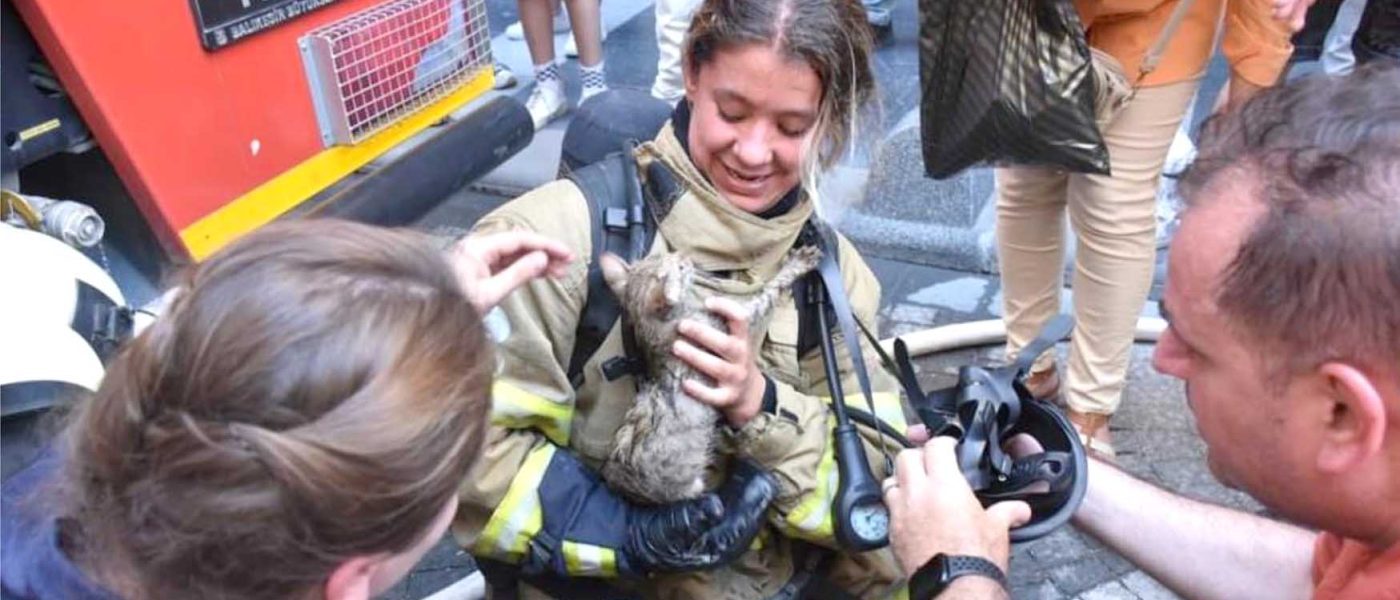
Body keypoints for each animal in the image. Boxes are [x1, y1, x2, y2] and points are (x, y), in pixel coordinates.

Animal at [599, 246, 817, 503]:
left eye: (661, 256)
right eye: (680, 268)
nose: (684, 255)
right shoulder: (729, 323)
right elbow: (768, 292)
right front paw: (796, 266)